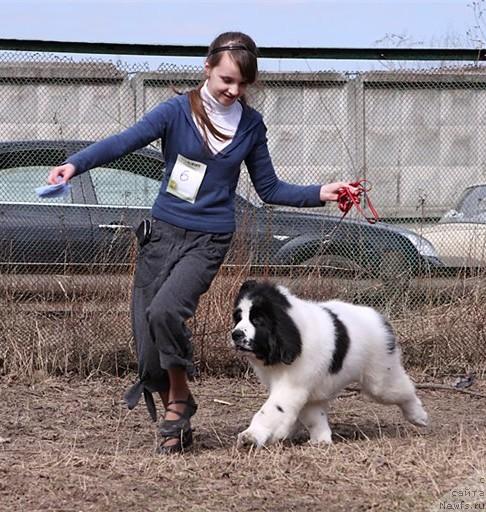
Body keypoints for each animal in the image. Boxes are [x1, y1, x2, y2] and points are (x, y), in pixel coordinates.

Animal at [230, 280, 428, 448]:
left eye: (257, 320)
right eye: (238, 318)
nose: (236, 334)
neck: (294, 333)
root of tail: (379, 317)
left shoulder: (292, 385)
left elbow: (272, 410)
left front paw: (251, 436)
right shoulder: (306, 390)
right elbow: (312, 415)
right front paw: (320, 439)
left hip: (380, 379)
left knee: (403, 390)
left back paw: (418, 416)